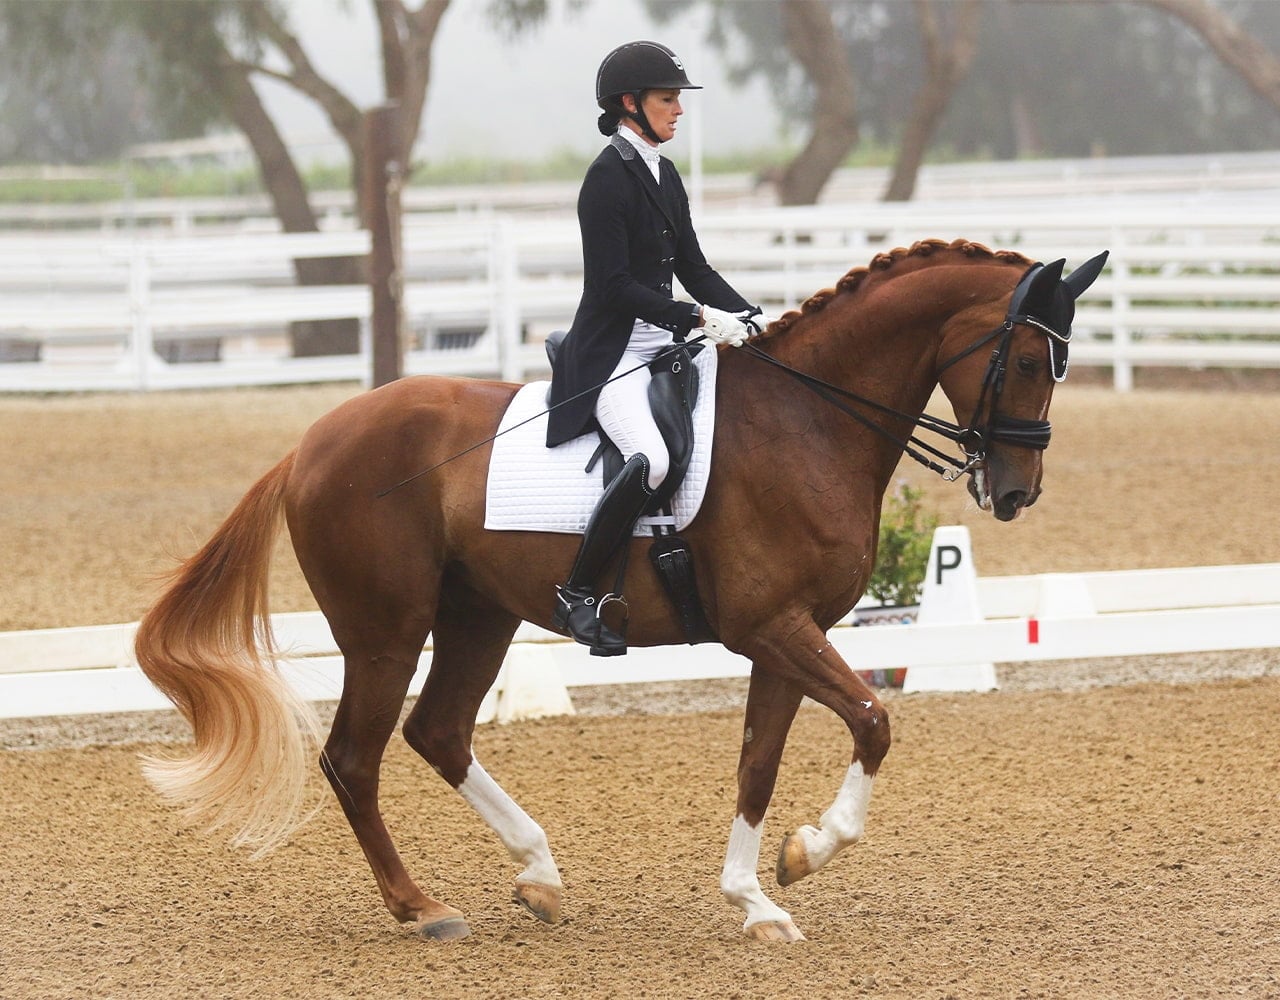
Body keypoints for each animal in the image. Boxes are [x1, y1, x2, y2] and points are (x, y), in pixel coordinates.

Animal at [134, 238, 1107, 943]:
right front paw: (807, 853)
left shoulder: (787, 634)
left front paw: (758, 899)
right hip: (385, 632)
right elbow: (874, 721)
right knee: (354, 758)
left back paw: (539, 876)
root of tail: (310, 444)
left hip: (477, 617)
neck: (807, 420)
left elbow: (758, 762)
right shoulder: (772, 626)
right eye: (1028, 360)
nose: (1016, 492)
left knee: (438, 732)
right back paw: (422, 908)